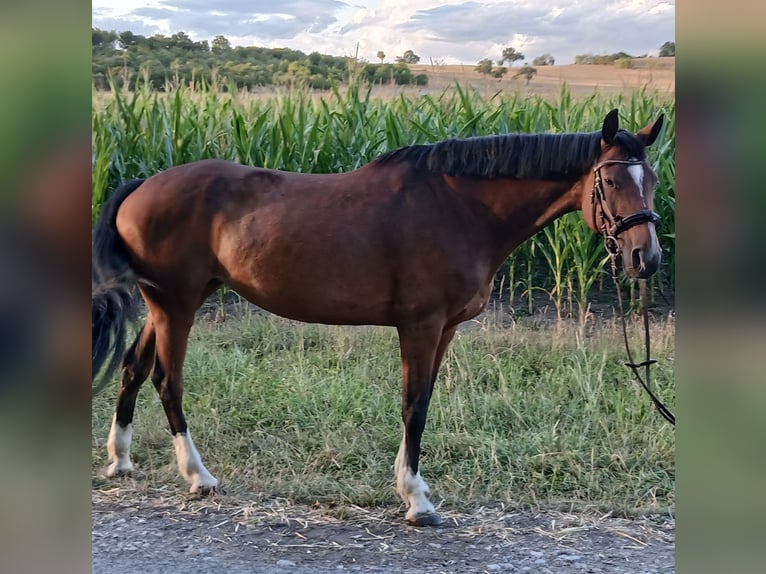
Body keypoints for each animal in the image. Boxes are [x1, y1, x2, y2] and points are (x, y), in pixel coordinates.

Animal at [92, 109, 665, 526]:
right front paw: (416, 500)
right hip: (177, 304)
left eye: (654, 180)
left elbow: (423, 401)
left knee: (133, 368)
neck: (460, 208)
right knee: (167, 380)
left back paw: (120, 460)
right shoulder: (421, 325)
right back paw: (198, 476)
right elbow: (414, 406)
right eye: (612, 182)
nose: (646, 258)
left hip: (165, 302)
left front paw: (413, 487)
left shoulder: (444, 328)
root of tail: (140, 186)